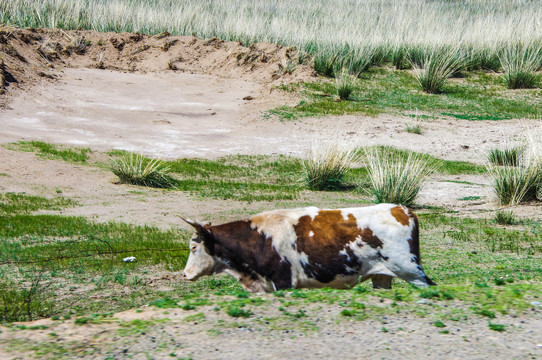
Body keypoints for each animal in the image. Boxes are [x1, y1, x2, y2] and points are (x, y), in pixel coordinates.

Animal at [183, 202, 438, 292]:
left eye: (193, 247)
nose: (184, 274)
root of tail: (401, 208)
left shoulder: (283, 282)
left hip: (411, 270)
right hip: (382, 276)